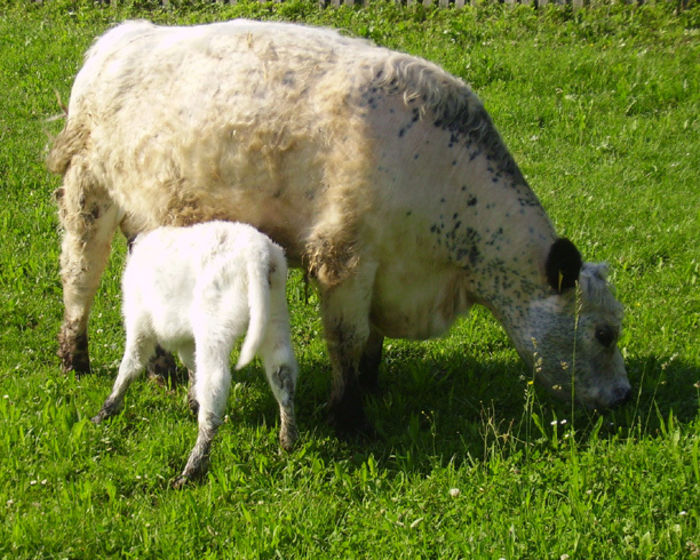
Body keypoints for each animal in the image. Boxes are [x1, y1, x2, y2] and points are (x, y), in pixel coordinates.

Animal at [91, 221, 296, 488]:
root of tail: (258, 254)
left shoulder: (139, 323)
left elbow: (129, 368)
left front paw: (107, 410)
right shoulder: (185, 337)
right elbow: (190, 365)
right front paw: (191, 400)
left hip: (214, 327)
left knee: (215, 389)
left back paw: (192, 468)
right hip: (275, 319)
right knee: (283, 375)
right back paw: (288, 440)